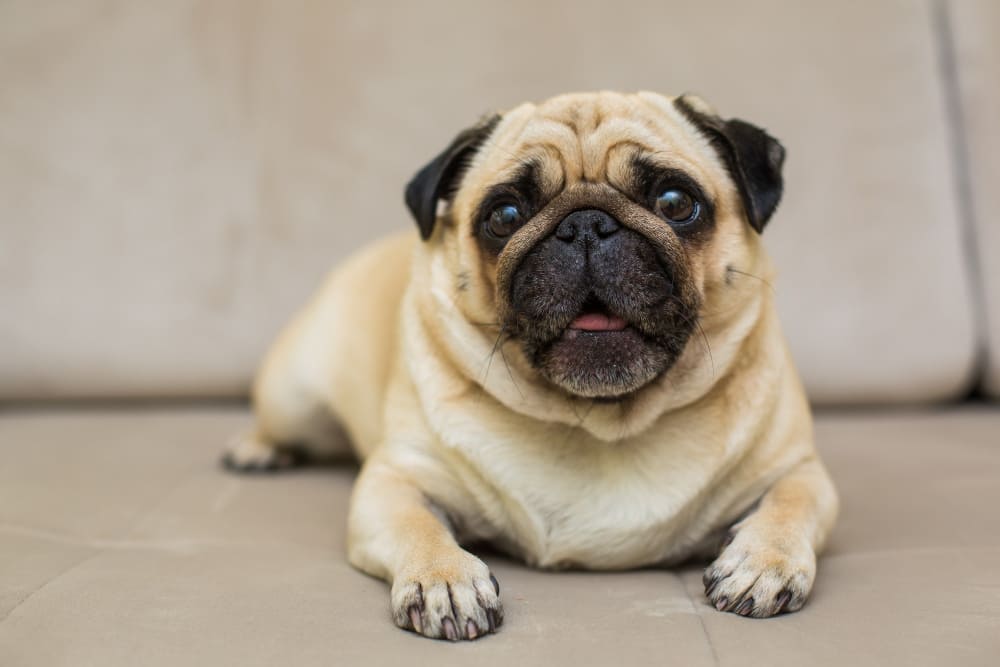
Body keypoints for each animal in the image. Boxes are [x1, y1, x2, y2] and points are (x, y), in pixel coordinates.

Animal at [225, 92, 836, 640]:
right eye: (505, 215)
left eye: (673, 202)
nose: (586, 225)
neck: (599, 420)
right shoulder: (396, 479)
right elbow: (417, 524)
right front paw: (444, 579)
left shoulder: (798, 469)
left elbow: (792, 503)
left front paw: (763, 562)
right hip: (293, 396)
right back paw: (255, 451)